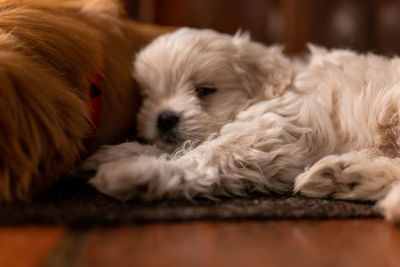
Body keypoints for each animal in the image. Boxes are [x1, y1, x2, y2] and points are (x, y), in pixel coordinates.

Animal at [83, 27, 400, 224]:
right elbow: (183, 146)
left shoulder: (272, 128)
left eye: (205, 90)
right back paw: (344, 175)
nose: (165, 117)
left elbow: (206, 155)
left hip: (390, 106)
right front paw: (118, 153)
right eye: (149, 95)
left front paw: (135, 171)